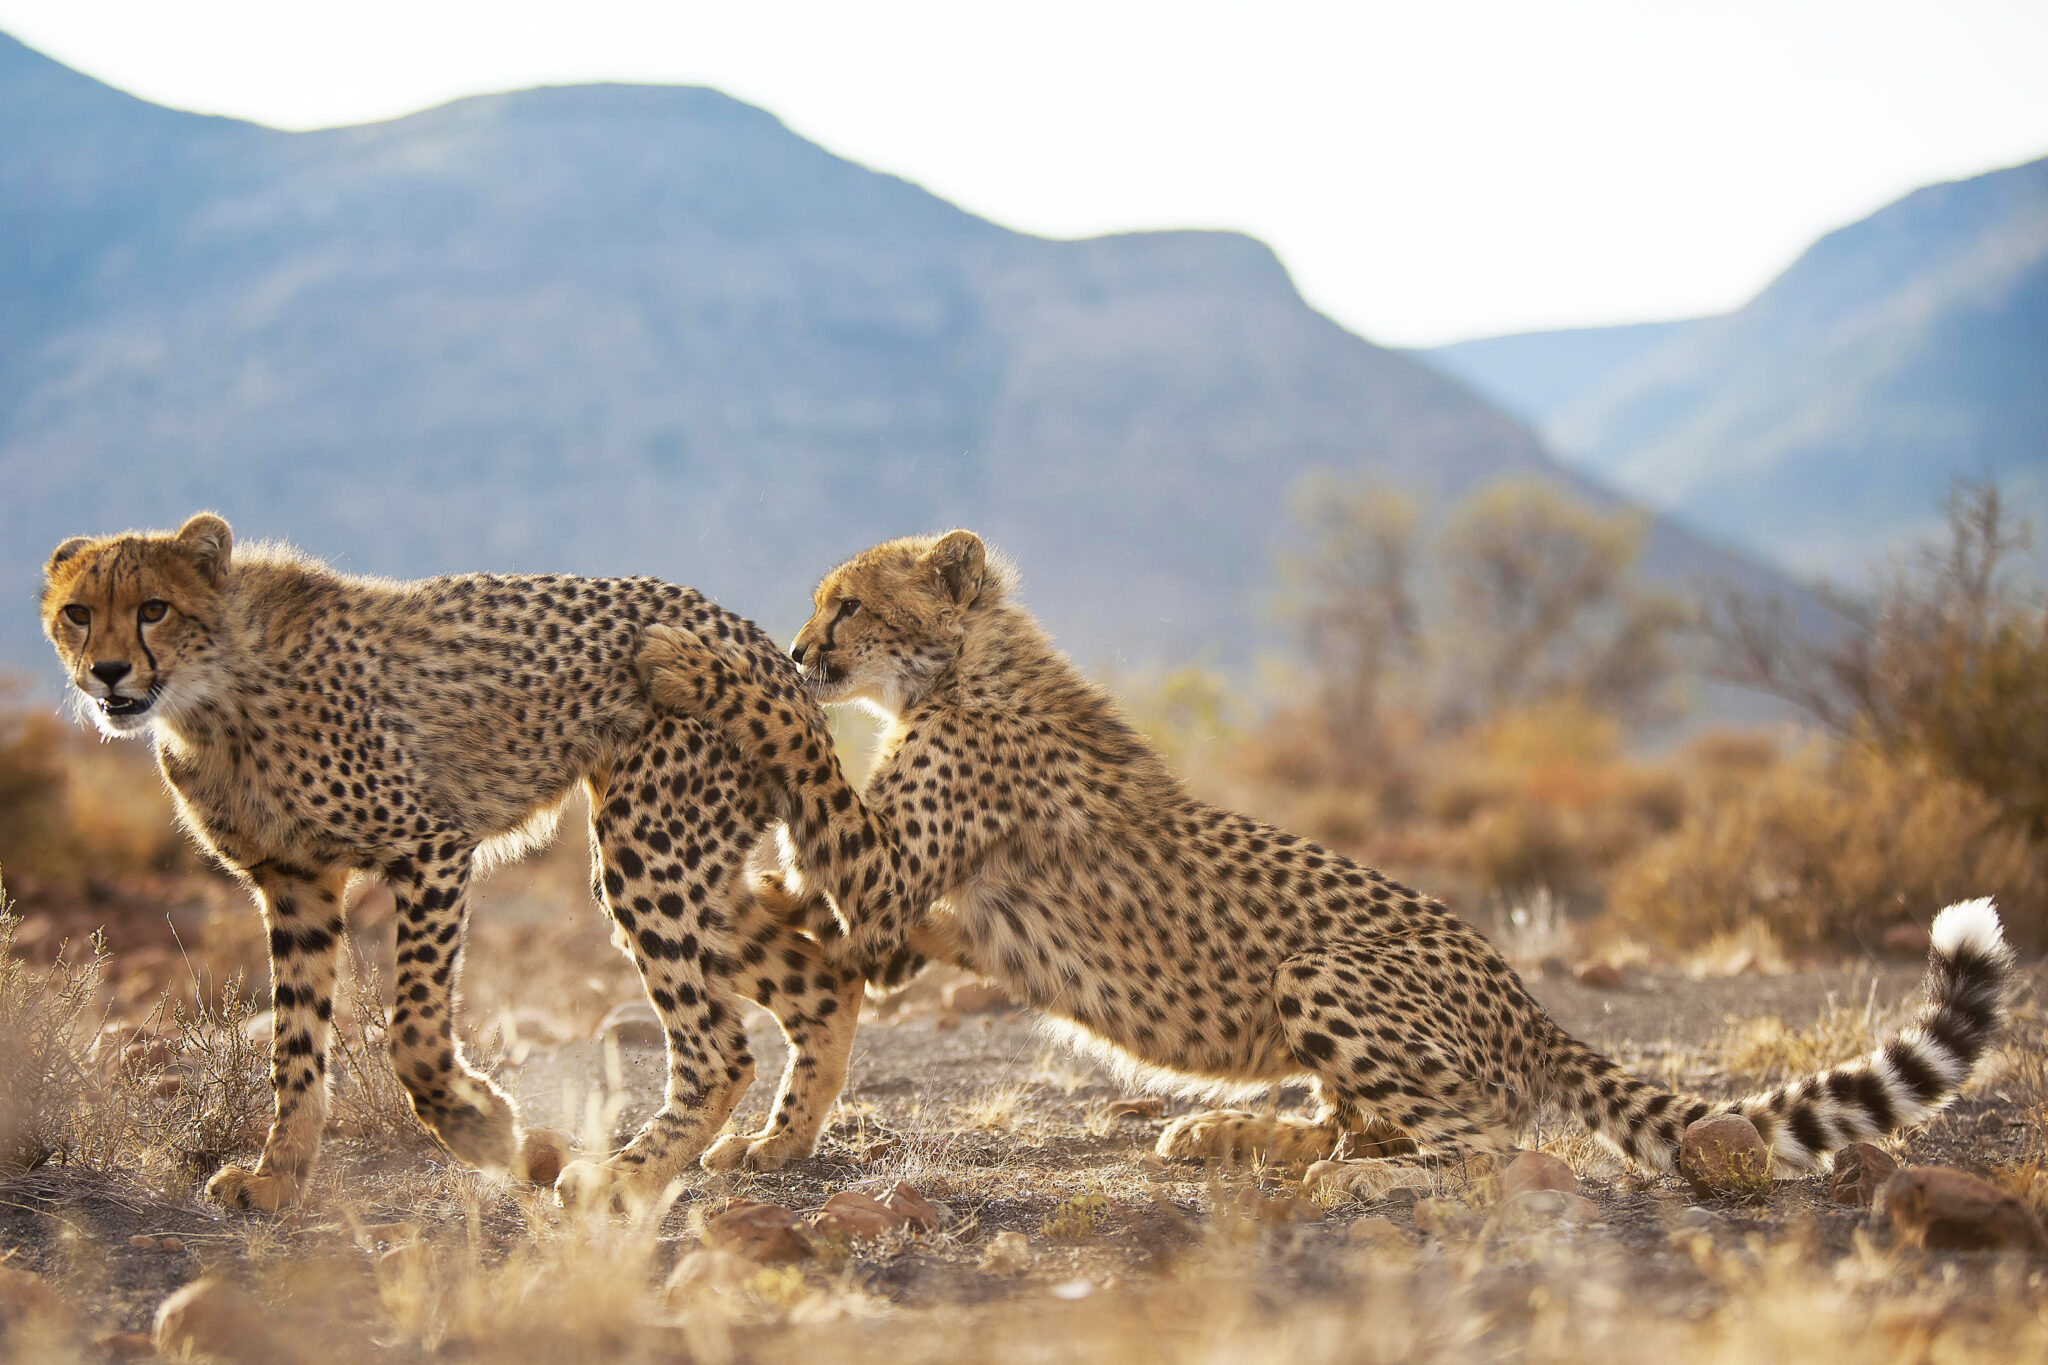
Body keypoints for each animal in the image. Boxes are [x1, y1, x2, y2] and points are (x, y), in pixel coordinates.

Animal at [39, 512, 865, 1211]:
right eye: (77, 612)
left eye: (154, 608)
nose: (108, 671)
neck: (212, 695)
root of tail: (763, 644)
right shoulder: (295, 885)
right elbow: (294, 1046)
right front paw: (278, 1176)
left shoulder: (429, 845)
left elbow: (412, 1032)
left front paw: (489, 1130)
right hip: (684, 863)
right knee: (823, 981)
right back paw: (778, 1142)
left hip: (649, 846)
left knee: (720, 1046)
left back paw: (623, 1175)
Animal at [637, 528, 2016, 1182]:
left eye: (849, 604)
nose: (805, 648)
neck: (962, 669)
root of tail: (1526, 1002)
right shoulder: (900, 922)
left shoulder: (887, 876)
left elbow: (802, 762)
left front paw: (690, 663)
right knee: (1371, 1124)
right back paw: (1235, 1139)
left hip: (1328, 970)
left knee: (1469, 1145)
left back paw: (1315, 1180)